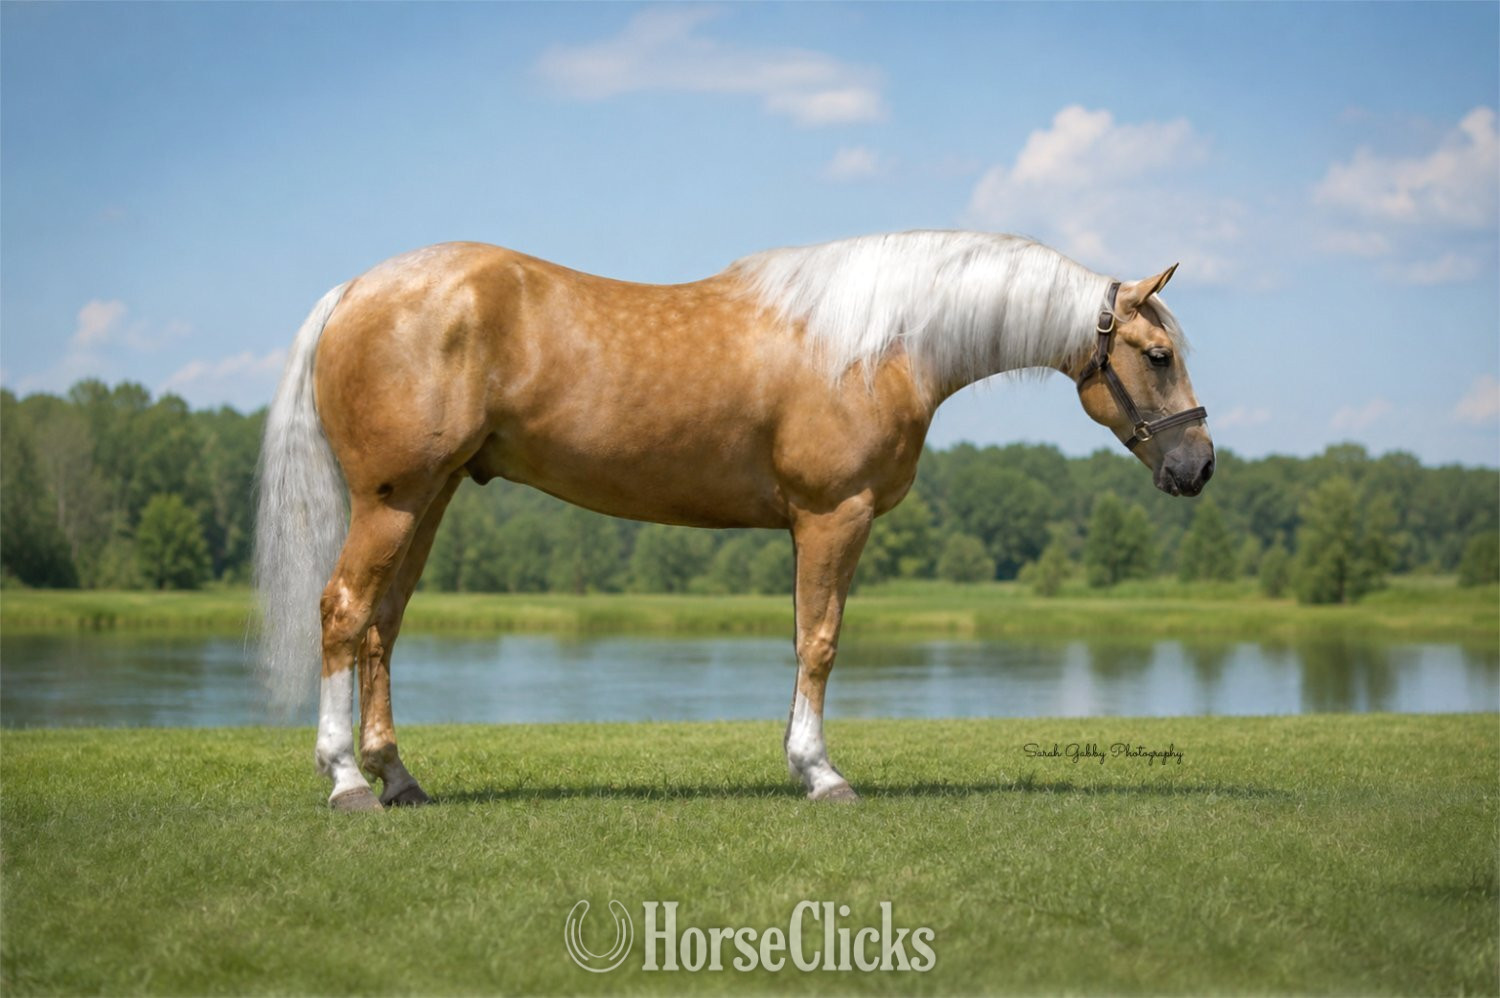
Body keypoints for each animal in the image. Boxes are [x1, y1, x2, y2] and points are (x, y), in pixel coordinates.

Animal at [254, 230, 1214, 811]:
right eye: (1159, 355)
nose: (1197, 467)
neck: (876, 342)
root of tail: (355, 290)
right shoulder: (834, 516)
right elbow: (820, 641)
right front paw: (821, 774)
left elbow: (802, 639)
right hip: (393, 500)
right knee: (343, 613)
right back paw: (345, 780)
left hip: (432, 496)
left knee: (382, 625)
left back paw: (398, 779)